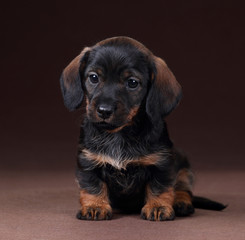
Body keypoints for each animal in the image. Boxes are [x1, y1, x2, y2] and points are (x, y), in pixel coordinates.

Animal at [59, 36, 226, 221]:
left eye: (132, 82)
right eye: (93, 77)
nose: (104, 110)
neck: (119, 134)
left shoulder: (161, 164)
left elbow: (159, 187)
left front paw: (158, 206)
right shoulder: (88, 162)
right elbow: (92, 186)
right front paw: (95, 206)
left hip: (184, 169)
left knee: (183, 189)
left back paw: (181, 202)